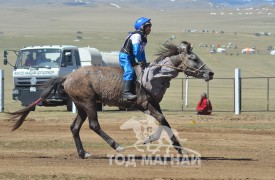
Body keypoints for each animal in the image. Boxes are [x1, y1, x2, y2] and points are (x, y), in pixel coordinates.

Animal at [8, 40, 215, 159]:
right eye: (193, 58)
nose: (210, 73)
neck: (155, 75)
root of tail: (67, 77)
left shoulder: (155, 103)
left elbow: (165, 122)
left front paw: (179, 149)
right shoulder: (144, 103)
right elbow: (162, 120)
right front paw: (149, 139)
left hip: (81, 106)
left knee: (75, 127)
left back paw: (83, 153)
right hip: (89, 103)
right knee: (94, 125)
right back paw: (118, 146)